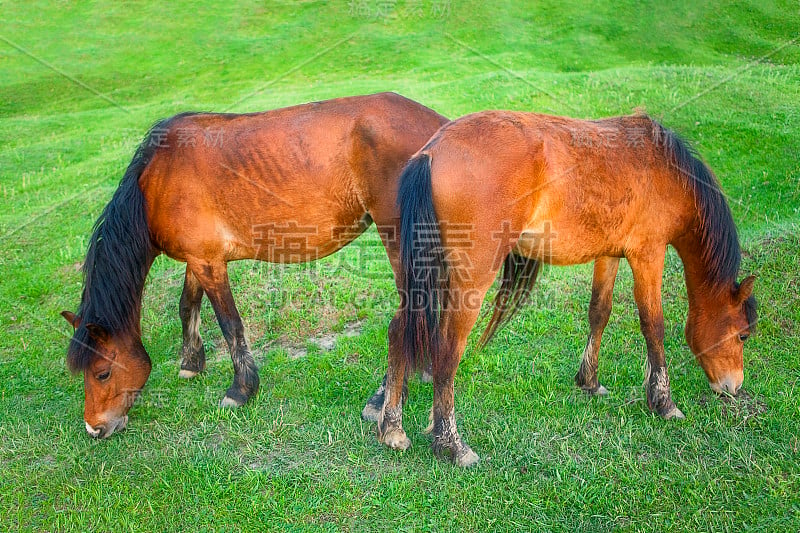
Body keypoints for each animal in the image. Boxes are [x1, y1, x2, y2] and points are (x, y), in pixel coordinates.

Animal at [61, 93, 450, 438]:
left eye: (102, 373)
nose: (94, 428)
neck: (156, 181)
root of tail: (441, 131)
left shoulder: (208, 263)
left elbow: (230, 324)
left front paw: (241, 389)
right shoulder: (198, 259)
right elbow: (187, 306)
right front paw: (191, 364)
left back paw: (383, 398)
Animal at [376, 111, 756, 466]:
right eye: (742, 335)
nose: (733, 386)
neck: (666, 168)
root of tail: (433, 151)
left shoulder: (609, 254)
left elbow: (599, 312)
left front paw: (589, 380)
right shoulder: (648, 255)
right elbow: (653, 325)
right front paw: (663, 401)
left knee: (398, 331)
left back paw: (392, 428)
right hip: (470, 279)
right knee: (447, 350)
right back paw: (451, 443)